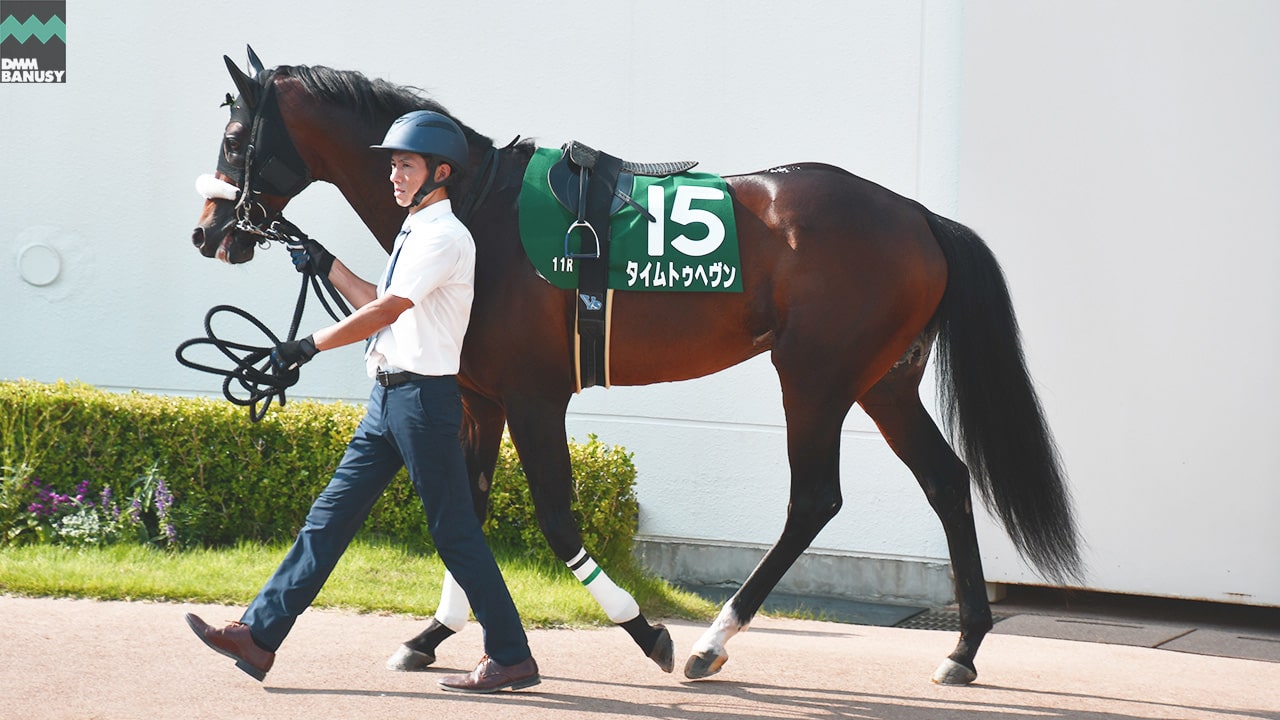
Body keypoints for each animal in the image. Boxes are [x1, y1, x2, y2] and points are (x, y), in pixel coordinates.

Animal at [189, 51, 1080, 681]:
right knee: (946, 480)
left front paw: (646, 631)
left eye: (235, 139)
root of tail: (920, 216)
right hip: (883, 382)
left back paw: (712, 641)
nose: (207, 232)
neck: (474, 208)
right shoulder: (477, 398)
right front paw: (430, 634)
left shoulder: (534, 397)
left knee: (815, 500)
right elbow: (463, 516)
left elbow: (553, 517)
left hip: (817, 378)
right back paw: (963, 648)